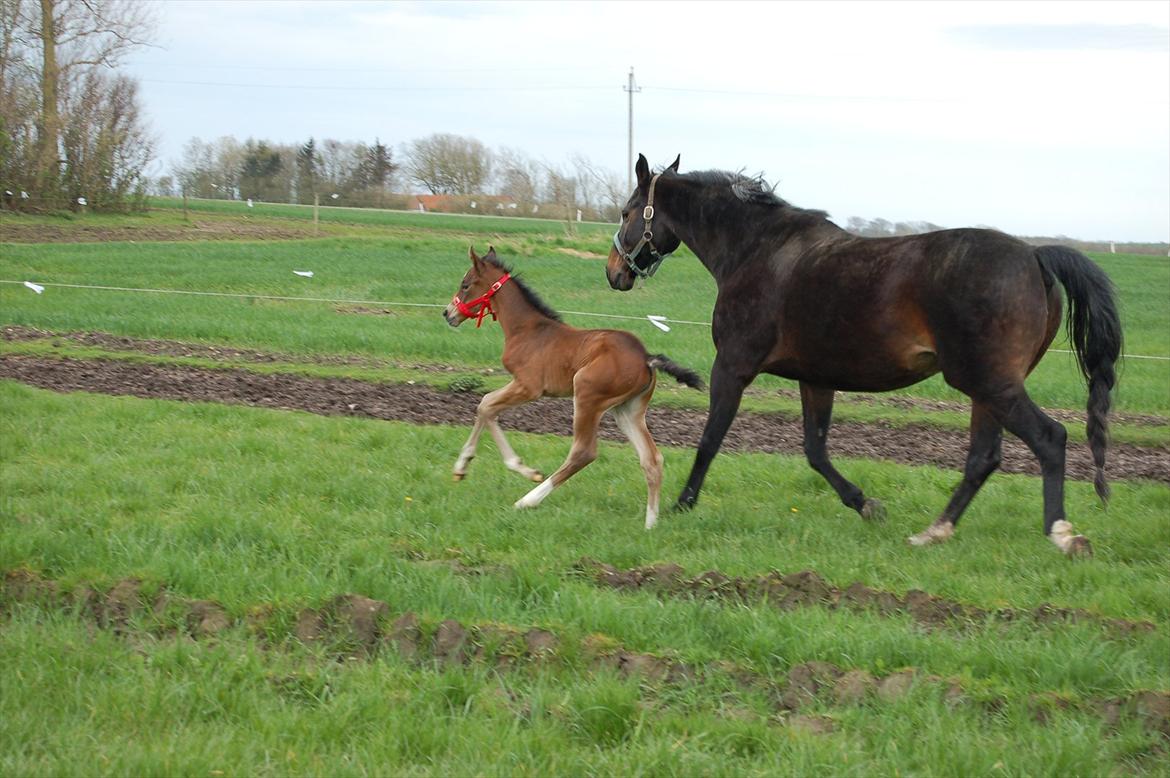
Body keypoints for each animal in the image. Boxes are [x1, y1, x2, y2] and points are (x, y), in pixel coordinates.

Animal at [608, 153, 1118, 552]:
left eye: (627, 212)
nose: (614, 273)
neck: (757, 250)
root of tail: (1034, 257)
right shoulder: (816, 378)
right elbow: (815, 450)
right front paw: (866, 504)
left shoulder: (733, 366)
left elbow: (711, 438)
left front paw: (682, 504)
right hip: (987, 388)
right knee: (984, 457)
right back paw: (933, 531)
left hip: (989, 382)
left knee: (1049, 438)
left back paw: (1062, 533)